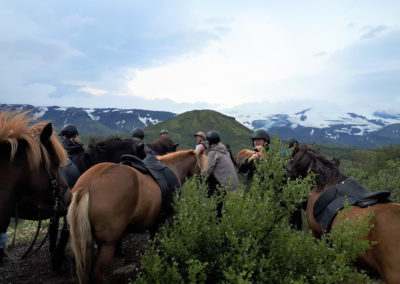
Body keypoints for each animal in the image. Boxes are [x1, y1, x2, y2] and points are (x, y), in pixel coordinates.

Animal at [67, 150, 208, 282]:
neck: (174, 168)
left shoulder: (154, 220)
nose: (203, 183)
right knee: (97, 274)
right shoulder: (169, 217)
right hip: (108, 244)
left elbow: (154, 240)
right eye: (200, 167)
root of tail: (85, 186)